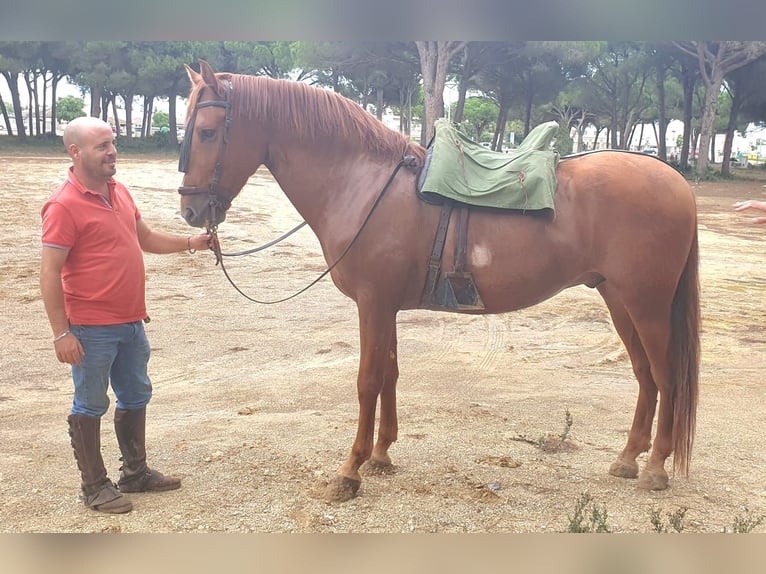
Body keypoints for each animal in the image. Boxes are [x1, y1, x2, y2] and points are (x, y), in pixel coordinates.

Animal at [178, 60, 704, 504]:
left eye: (206, 132)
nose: (190, 211)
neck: (363, 184)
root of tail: (677, 181)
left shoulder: (372, 303)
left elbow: (367, 380)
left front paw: (349, 471)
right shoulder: (385, 306)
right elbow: (389, 373)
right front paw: (381, 454)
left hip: (647, 306)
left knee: (665, 377)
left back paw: (656, 467)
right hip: (619, 299)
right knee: (644, 376)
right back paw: (628, 459)